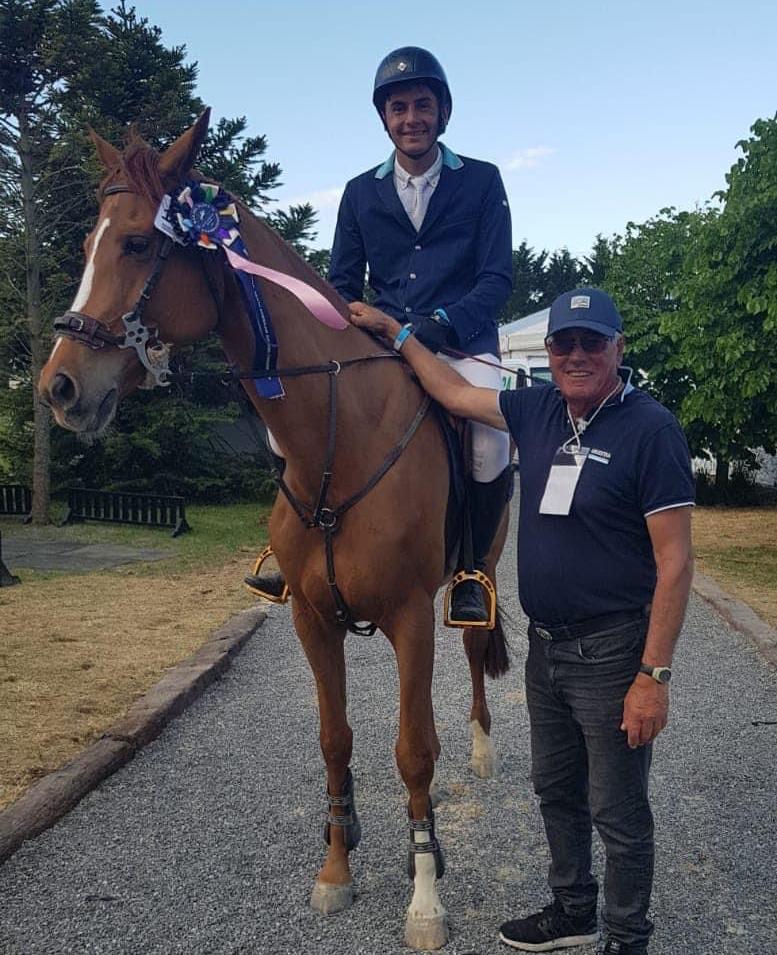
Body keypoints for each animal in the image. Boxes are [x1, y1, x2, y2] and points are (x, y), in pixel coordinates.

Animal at [38, 111, 511, 950]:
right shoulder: (310, 618)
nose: (59, 388)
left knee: (474, 644)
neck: (338, 438)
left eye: (137, 243)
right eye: (90, 239)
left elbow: (414, 750)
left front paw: (424, 896)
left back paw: (484, 748)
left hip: (475, 571)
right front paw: (336, 868)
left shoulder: (407, 619)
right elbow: (334, 739)